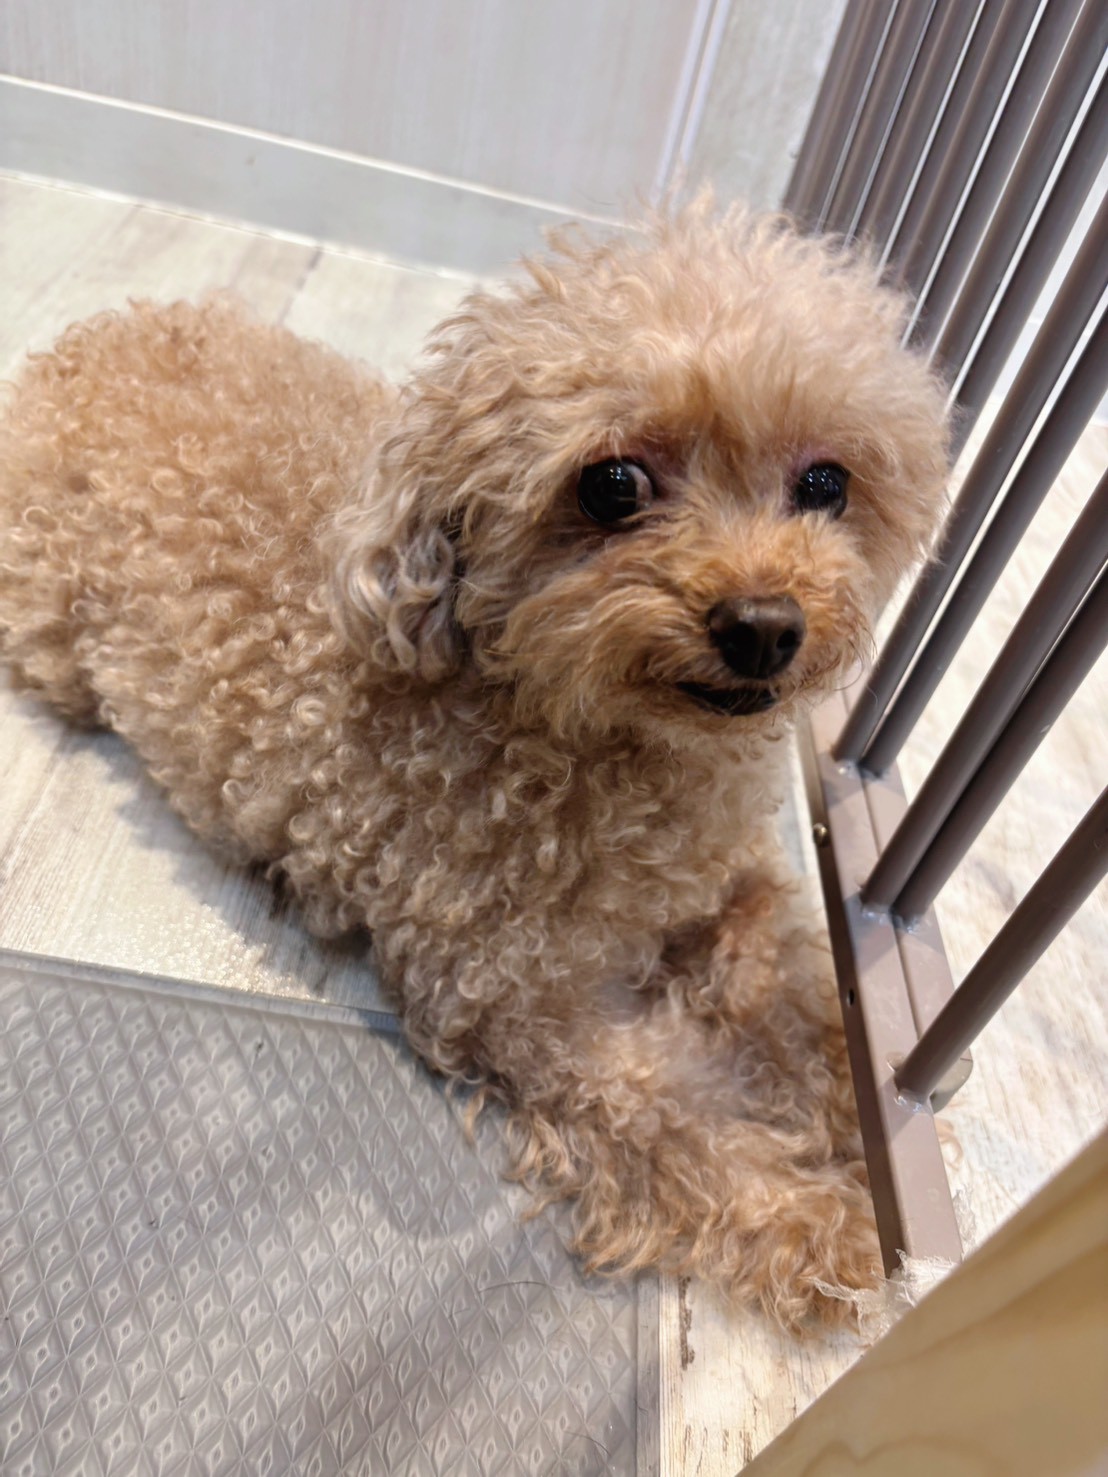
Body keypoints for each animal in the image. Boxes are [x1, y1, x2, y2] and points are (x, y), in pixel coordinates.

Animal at [0, 202, 948, 1329]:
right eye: (613, 484)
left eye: (825, 483)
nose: (763, 626)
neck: (610, 743)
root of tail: (87, 340)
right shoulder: (517, 999)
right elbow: (672, 1109)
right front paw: (830, 1230)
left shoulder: (730, 879)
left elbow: (790, 979)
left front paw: (863, 1100)